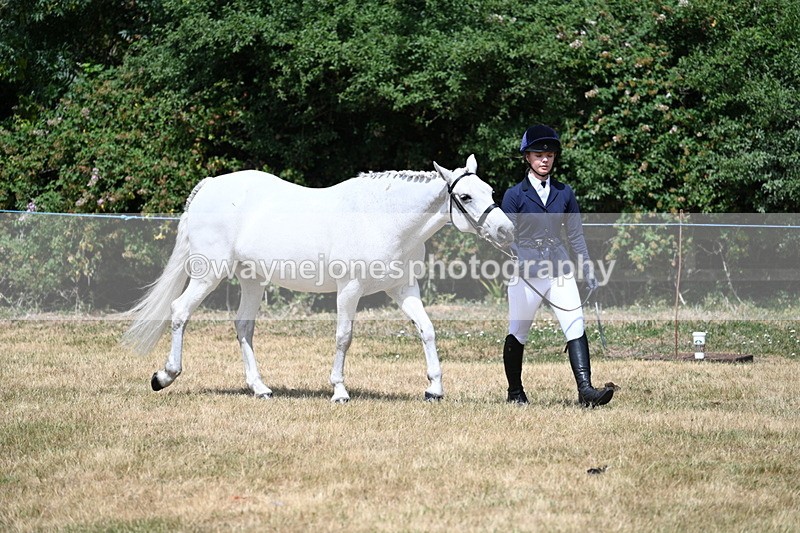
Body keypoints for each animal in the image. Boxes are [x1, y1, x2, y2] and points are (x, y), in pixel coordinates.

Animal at [122, 155, 514, 402]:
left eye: (491, 192)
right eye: (465, 195)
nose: (506, 230)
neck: (381, 218)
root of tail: (207, 187)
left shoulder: (402, 288)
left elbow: (427, 330)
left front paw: (434, 389)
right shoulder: (349, 290)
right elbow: (344, 337)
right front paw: (339, 391)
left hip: (252, 279)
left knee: (243, 327)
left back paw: (260, 388)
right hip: (209, 274)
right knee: (179, 312)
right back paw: (164, 376)